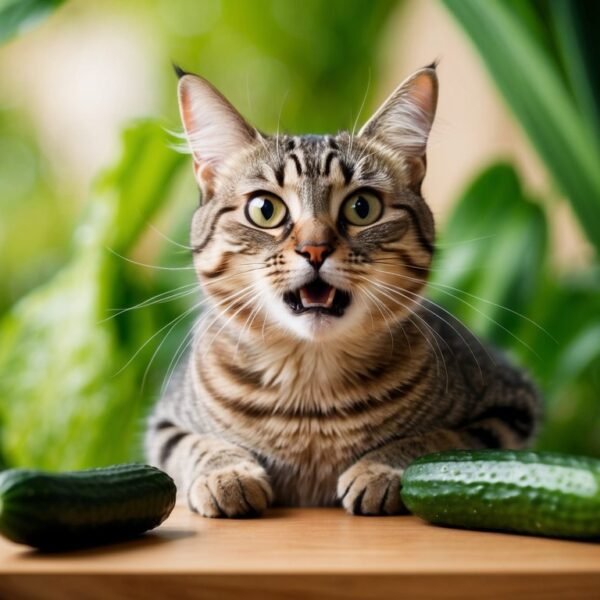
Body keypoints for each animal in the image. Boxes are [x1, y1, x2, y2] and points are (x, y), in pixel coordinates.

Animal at [145, 64, 540, 516]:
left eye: (362, 207)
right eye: (265, 209)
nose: (314, 248)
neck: (311, 401)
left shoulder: (511, 407)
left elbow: (441, 440)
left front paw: (381, 467)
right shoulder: (164, 424)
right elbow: (195, 445)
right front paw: (226, 473)